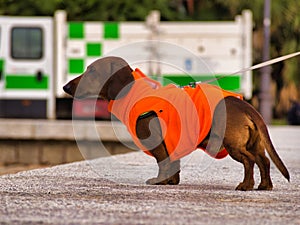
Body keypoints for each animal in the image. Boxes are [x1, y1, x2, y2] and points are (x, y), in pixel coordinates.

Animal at [63, 55, 290, 190]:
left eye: (92, 71)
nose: (65, 87)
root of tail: (246, 106)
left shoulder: (158, 144)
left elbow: (163, 163)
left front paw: (161, 181)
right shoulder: (172, 142)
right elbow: (173, 164)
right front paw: (171, 182)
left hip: (234, 145)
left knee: (250, 161)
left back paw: (246, 185)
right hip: (254, 144)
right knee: (264, 160)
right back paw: (265, 186)